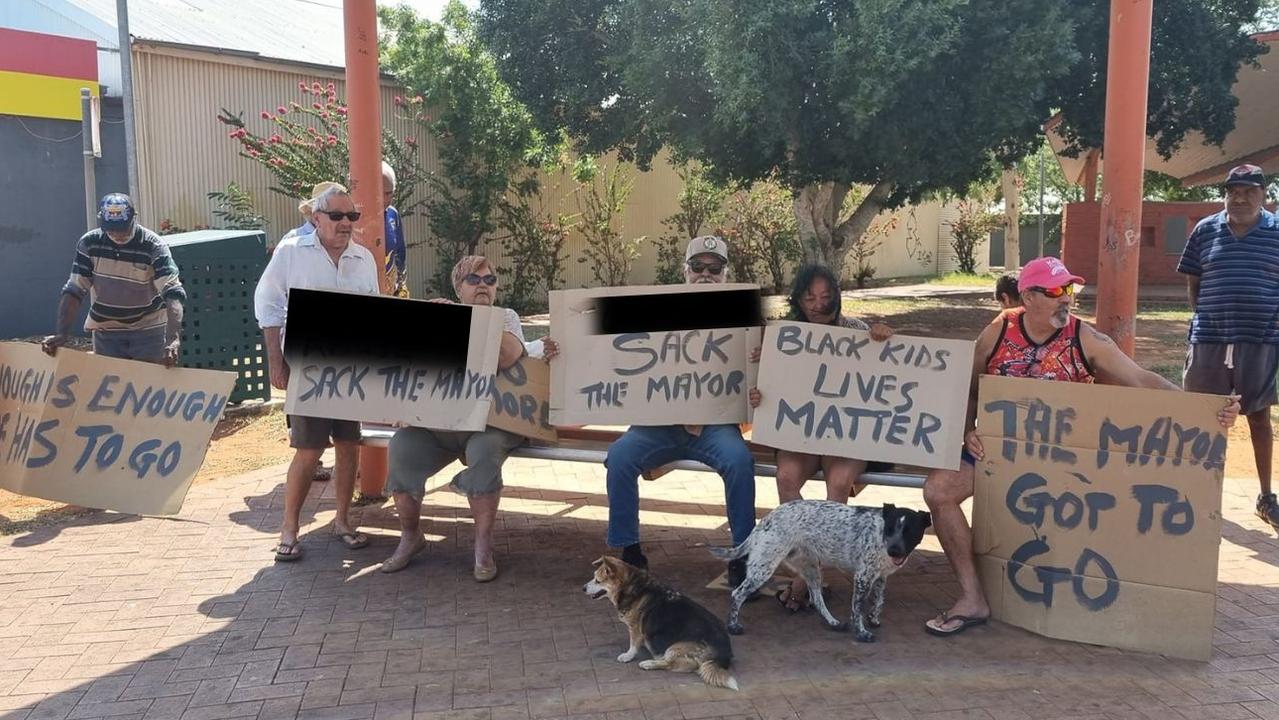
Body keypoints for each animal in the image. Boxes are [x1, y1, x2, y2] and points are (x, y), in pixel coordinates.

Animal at [583, 555, 741, 690]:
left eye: (597, 580)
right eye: (594, 577)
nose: (583, 588)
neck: (632, 587)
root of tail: (723, 655)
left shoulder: (635, 628)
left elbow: (633, 645)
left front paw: (627, 656)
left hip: (674, 648)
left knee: (671, 664)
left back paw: (648, 663)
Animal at [711, 501, 931, 641]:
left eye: (910, 531)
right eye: (890, 529)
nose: (894, 550)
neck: (880, 535)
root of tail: (765, 520)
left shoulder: (880, 577)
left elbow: (879, 602)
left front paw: (874, 618)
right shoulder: (863, 577)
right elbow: (857, 609)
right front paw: (861, 633)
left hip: (812, 570)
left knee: (817, 599)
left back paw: (833, 622)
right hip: (764, 568)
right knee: (737, 594)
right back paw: (733, 626)